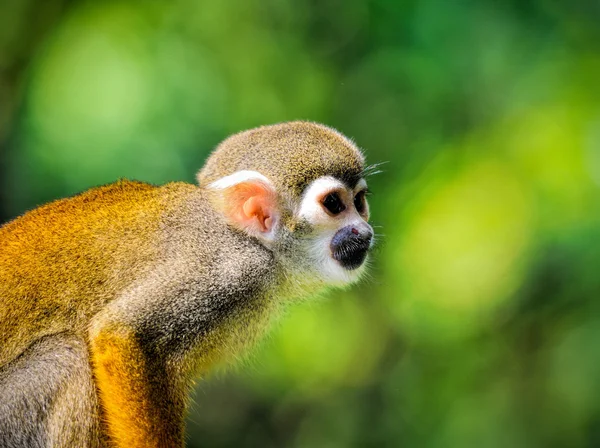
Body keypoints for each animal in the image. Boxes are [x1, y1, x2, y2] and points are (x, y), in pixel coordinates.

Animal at [0, 121, 372, 446]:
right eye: (334, 204)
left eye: (360, 202)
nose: (364, 232)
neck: (249, 240)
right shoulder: (227, 271)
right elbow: (121, 334)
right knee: (66, 358)